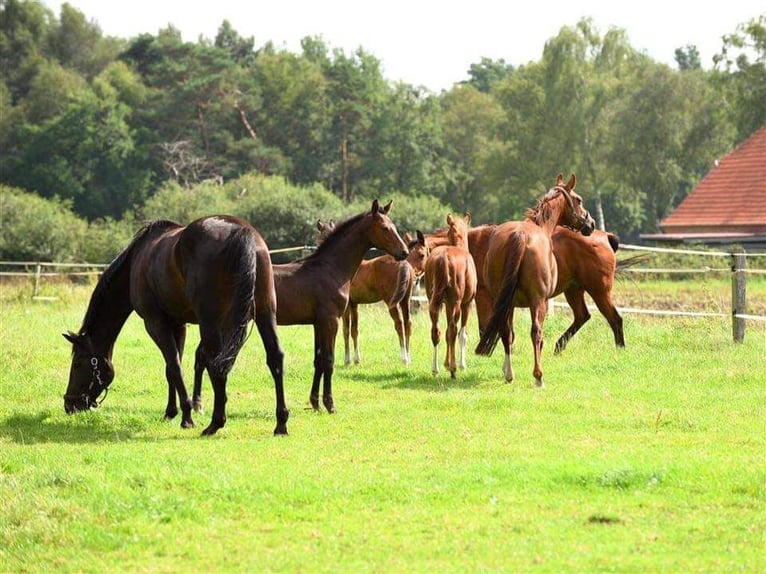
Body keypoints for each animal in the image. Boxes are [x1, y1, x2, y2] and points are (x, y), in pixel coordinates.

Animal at [62, 216, 292, 436]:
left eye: (78, 363)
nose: (69, 404)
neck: (137, 261)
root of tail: (241, 232)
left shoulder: (155, 324)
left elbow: (174, 366)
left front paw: (186, 416)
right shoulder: (178, 325)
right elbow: (171, 367)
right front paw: (171, 411)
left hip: (211, 323)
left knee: (216, 364)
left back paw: (215, 424)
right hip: (264, 313)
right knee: (275, 358)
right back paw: (280, 423)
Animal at [424, 214, 476, 380]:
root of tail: (444, 258)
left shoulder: (447, 304)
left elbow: (446, 333)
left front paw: (446, 364)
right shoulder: (467, 304)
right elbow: (462, 334)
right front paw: (461, 365)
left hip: (434, 302)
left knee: (436, 331)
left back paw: (435, 369)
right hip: (457, 304)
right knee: (453, 330)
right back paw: (453, 369)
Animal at [428, 226, 628, 356]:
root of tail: (605, 236)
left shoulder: (485, 297)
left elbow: (485, 327)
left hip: (599, 291)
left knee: (615, 319)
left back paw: (620, 349)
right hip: (573, 290)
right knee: (582, 316)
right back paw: (558, 346)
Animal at [474, 174, 600, 388]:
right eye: (579, 200)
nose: (590, 224)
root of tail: (521, 235)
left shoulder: (509, 304)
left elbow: (509, 334)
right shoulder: (543, 302)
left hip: (504, 300)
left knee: (506, 331)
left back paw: (510, 374)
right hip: (538, 302)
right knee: (536, 333)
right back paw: (538, 376)